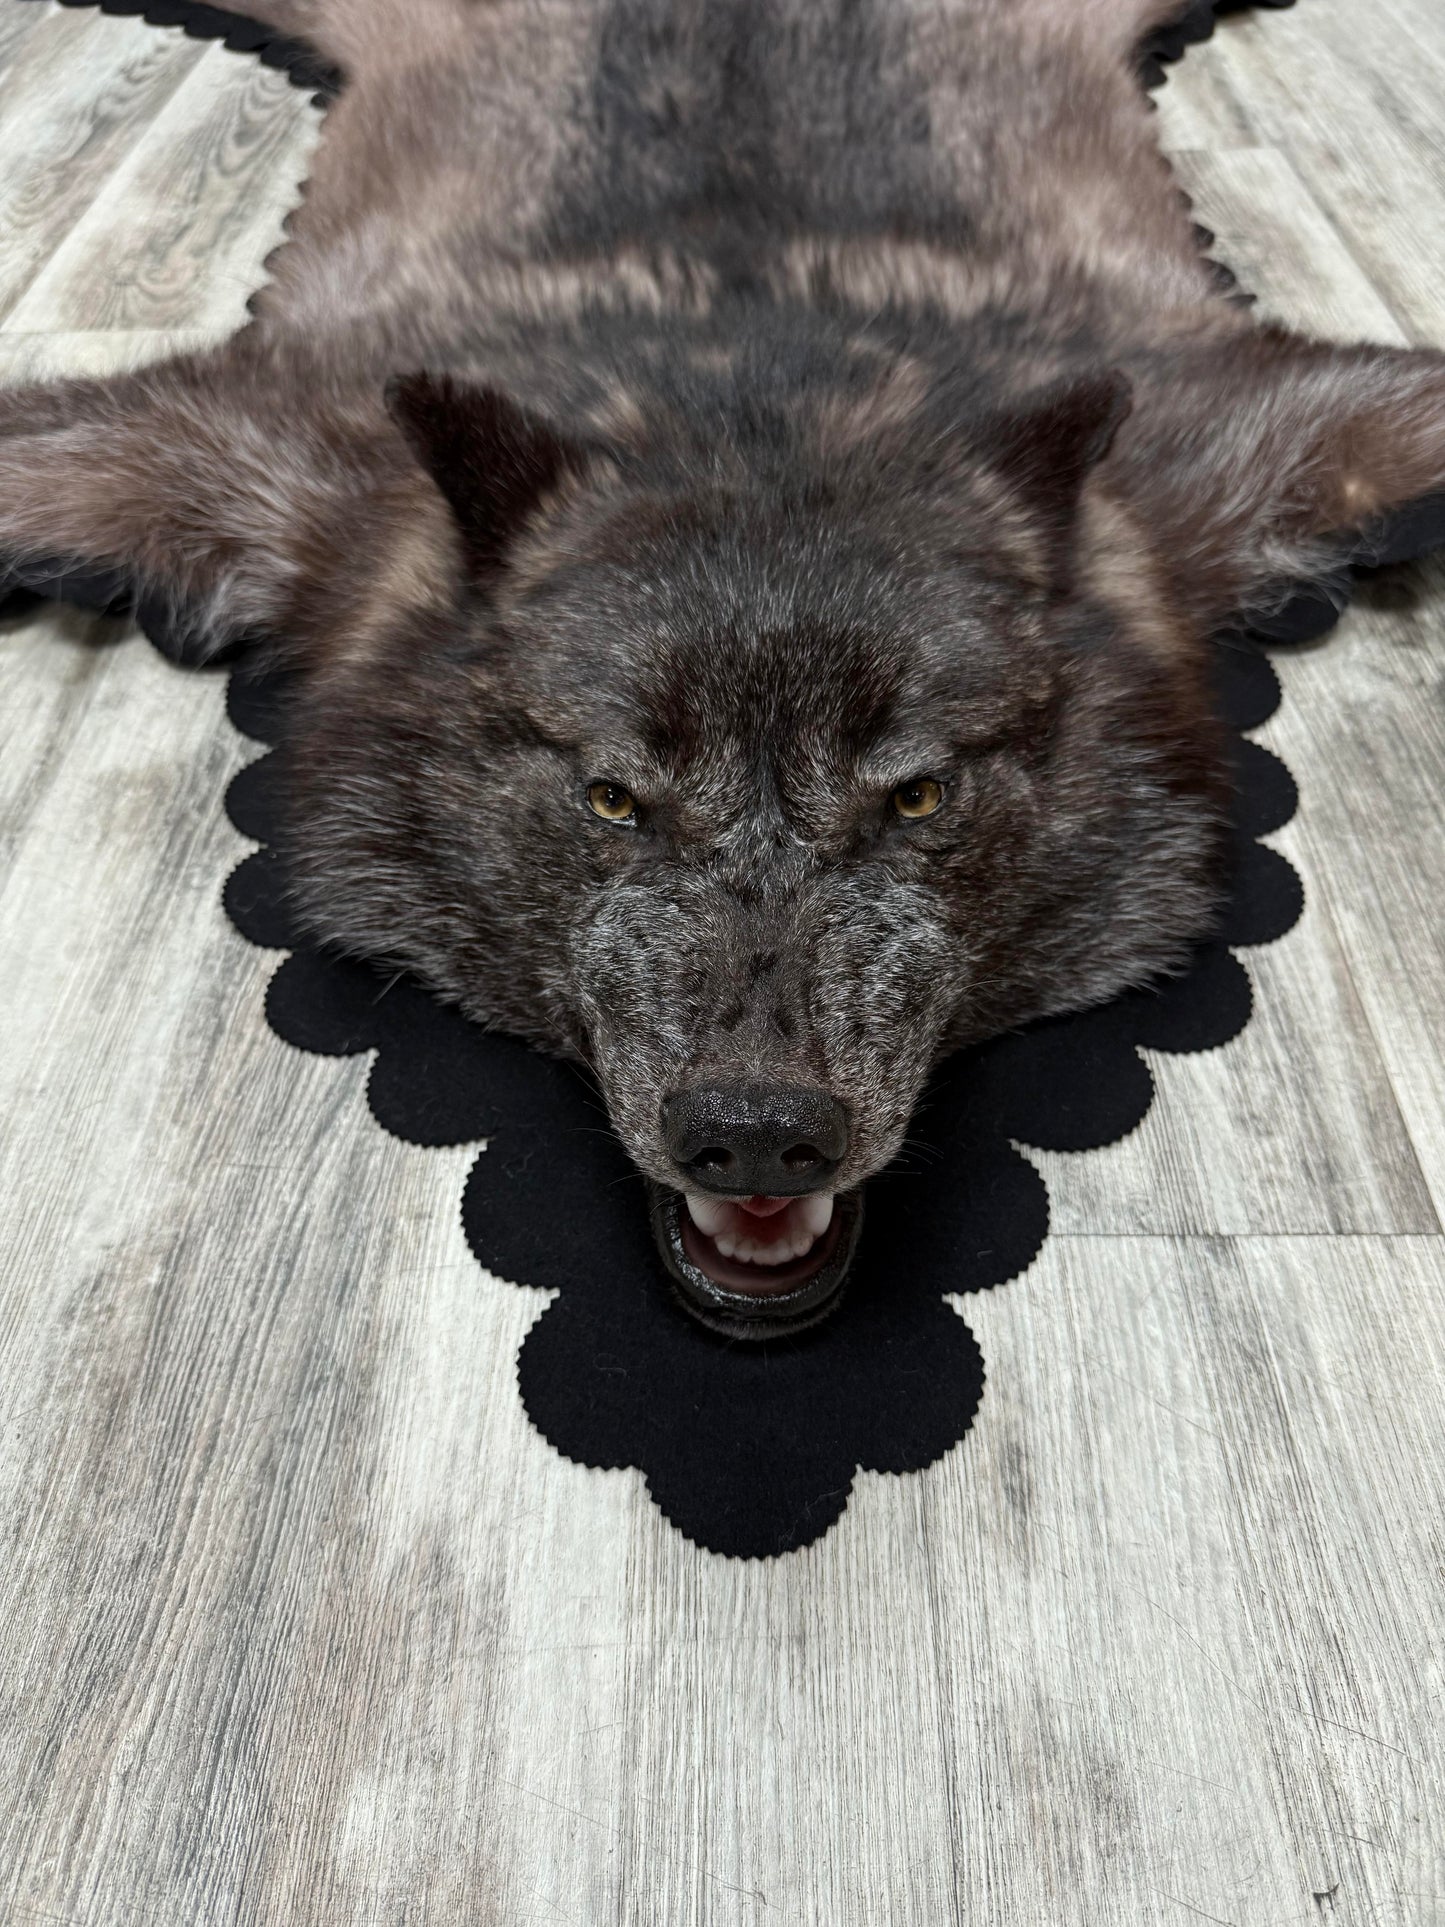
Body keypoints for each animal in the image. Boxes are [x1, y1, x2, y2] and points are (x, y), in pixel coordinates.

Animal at [3, 0, 1443, 1336]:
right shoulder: (297, 458)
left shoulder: (1204, 454)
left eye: (916, 795)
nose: (756, 1133)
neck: (756, 387)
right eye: (611, 799)